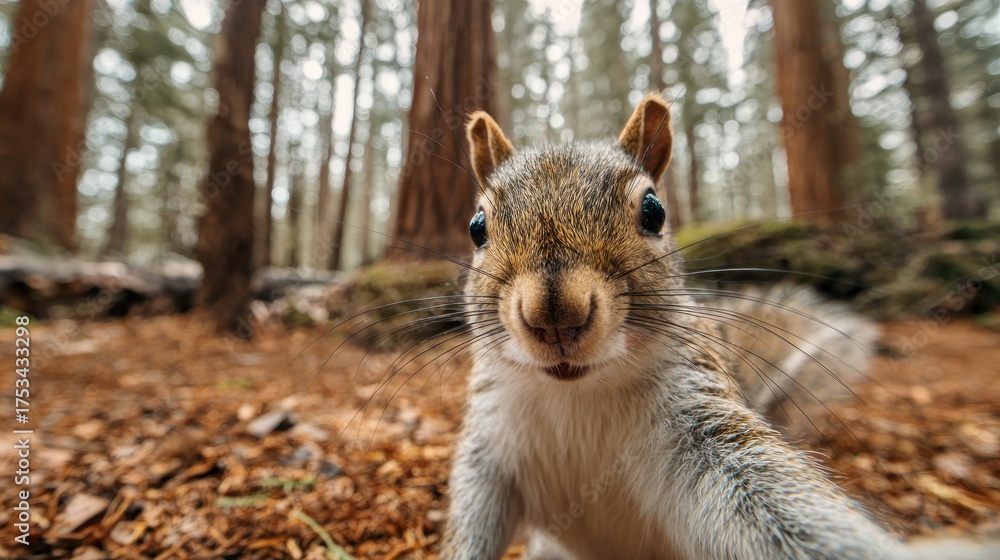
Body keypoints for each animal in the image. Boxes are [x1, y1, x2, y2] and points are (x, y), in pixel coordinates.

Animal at [439, 93, 900, 560]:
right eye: (477, 228)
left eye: (654, 211)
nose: (555, 317)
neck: (577, 394)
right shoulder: (488, 444)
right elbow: (473, 518)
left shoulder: (700, 417)